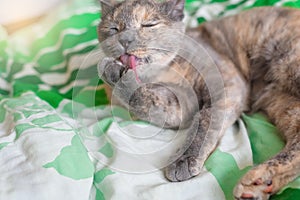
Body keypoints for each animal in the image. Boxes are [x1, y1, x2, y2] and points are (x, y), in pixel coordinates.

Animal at [96, 0, 300, 199]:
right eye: (113, 28)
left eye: (149, 24)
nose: (125, 40)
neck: (162, 75)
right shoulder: (180, 107)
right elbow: (146, 101)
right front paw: (113, 73)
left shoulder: (227, 84)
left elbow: (205, 121)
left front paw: (183, 160)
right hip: (282, 103)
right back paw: (258, 183)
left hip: (289, 64)